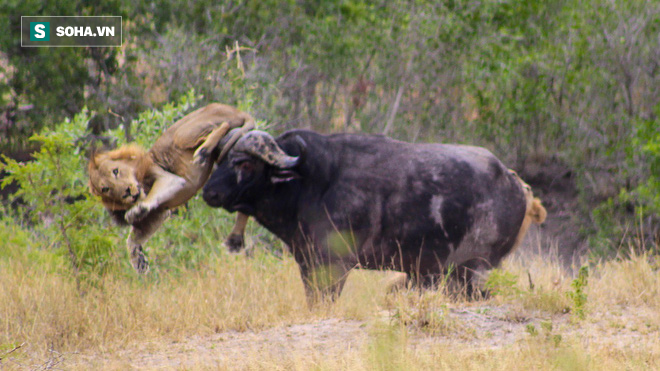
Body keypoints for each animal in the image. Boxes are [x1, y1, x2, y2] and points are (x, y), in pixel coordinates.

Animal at [87, 104, 253, 274]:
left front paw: (136, 211)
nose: (126, 191)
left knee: (223, 125)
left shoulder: (168, 178)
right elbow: (132, 239)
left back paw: (203, 152)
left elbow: (152, 197)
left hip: (183, 133)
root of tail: (237, 110)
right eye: (106, 189)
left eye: (116, 171)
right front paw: (138, 261)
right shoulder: (159, 213)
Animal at [204, 130, 544, 302]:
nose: (209, 192)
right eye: (222, 159)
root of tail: (517, 185)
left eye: (245, 164)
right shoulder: (308, 263)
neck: (311, 184)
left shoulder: (335, 266)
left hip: (475, 270)